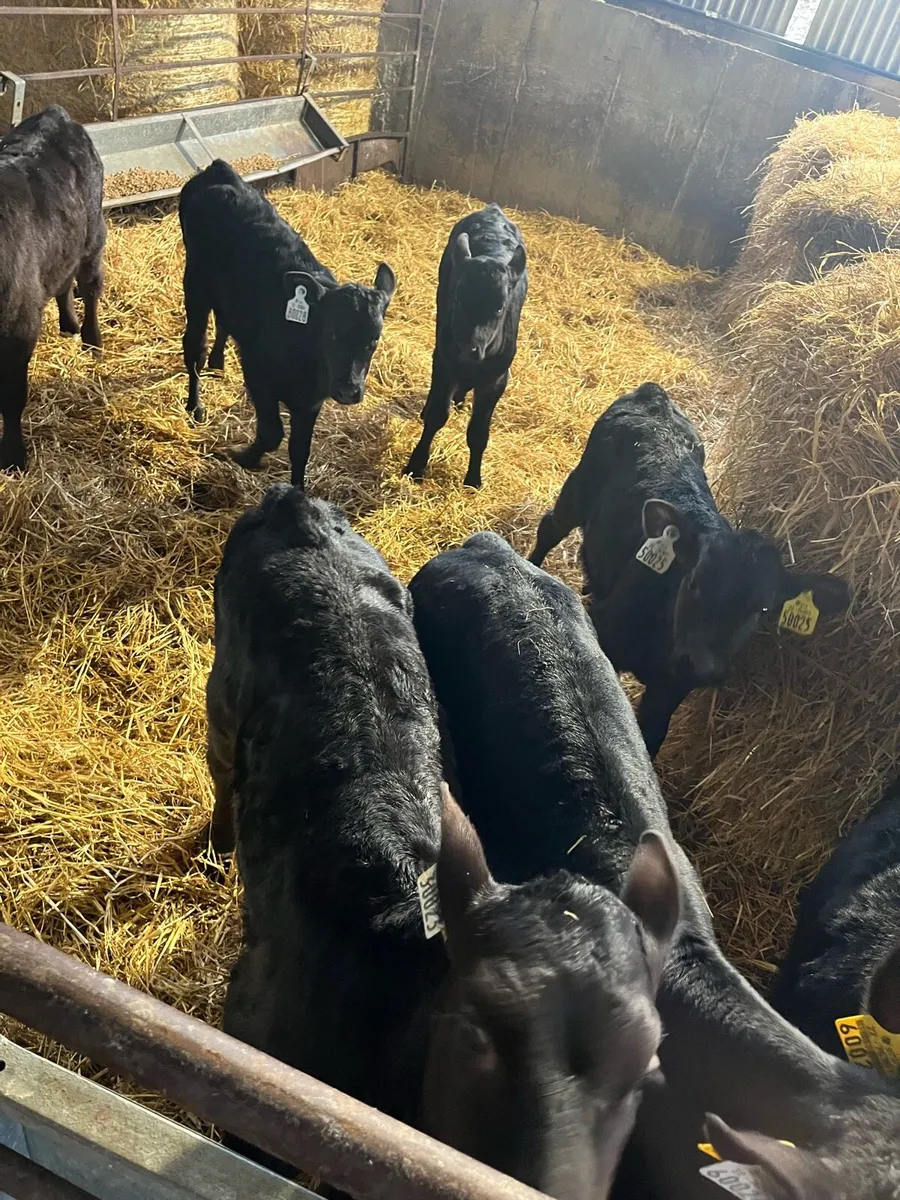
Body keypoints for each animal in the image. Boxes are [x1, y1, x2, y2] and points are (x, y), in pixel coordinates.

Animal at [0, 105, 105, 471]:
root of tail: (55, 114)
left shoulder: (19, 327)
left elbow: (12, 397)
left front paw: (13, 456)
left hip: (94, 234)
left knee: (90, 285)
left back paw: (91, 339)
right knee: (63, 280)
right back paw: (68, 324)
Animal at [179, 160, 395, 490]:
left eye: (375, 340)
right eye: (332, 334)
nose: (348, 390)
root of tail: (221, 170)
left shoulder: (311, 402)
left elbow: (300, 450)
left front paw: (297, 493)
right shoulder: (258, 375)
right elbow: (272, 434)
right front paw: (244, 456)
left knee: (224, 321)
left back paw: (218, 362)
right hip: (196, 283)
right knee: (194, 348)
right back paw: (195, 406)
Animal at [403, 204, 527, 489]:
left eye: (500, 307)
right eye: (459, 297)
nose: (467, 349)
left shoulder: (497, 378)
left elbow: (479, 432)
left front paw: (473, 479)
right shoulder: (445, 360)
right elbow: (437, 415)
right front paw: (416, 465)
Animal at [530, 382, 850, 756]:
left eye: (762, 610)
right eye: (694, 581)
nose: (701, 665)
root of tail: (655, 394)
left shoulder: (669, 693)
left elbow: (651, 740)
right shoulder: (603, 635)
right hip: (578, 488)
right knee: (550, 527)